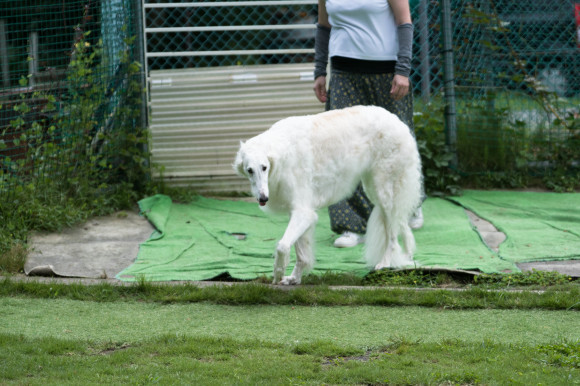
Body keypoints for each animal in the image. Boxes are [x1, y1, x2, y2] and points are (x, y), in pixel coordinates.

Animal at [234, 105, 422, 284]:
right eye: (249, 170)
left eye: (264, 167)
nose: (263, 198)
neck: (281, 153)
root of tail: (398, 121)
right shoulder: (300, 212)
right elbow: (301, 255)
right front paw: (294, 279)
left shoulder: (303, 211)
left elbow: (282, 245)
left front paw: (278, 273)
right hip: (376, 191)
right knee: (402, 225)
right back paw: (407, 258)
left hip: (384, 192)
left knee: (393, 238)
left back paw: (385, 263)